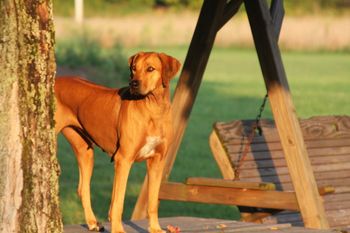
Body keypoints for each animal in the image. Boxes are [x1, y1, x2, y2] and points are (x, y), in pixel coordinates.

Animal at [54, 52, 180, 232]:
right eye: (134, 68)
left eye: (150, 69)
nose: (133, 83)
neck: (153, 108)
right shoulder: (124, 159)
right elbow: (118, 202)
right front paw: (118, 228)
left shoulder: (157, 162)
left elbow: (152, 201)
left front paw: (155, 228)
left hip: (85, 151)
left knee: (82, 188)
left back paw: (92, 222)